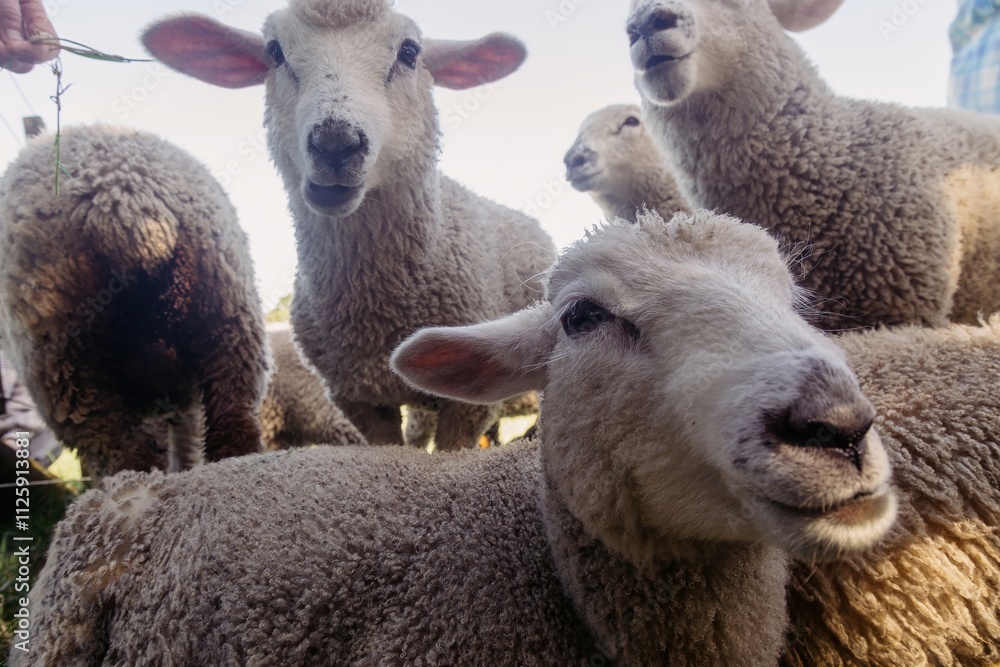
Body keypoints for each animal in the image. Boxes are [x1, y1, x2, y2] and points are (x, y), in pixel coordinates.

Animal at [141, 0, 556, 451]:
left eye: (409, 52)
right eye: (274, 52)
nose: (335, 145)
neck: (375, 312)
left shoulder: (467, 407)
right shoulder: (357, 398)